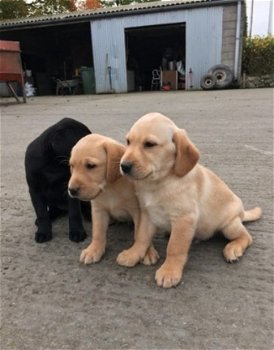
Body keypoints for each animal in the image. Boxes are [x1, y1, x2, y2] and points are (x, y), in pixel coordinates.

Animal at [68, 134, 158, 266]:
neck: (109, 189)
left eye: (90, 166)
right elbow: (98, 232)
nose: (71, 190)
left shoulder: (138, 211)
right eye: (72, 166)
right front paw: (94, 249)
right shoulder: (98, 210)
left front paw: (148, 252)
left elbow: (140, 232)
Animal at [118, 112, 264, 288]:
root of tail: (242, 213)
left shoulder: (184, 218)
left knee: (246, 236)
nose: (124, 166)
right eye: (128, 141)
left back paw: (233, 248)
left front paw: (170, 271)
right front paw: (133, 254)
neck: (160, 183)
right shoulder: (147, 214)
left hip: (230, 225)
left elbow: (175, 247)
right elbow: (141, 237)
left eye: (149, 144)